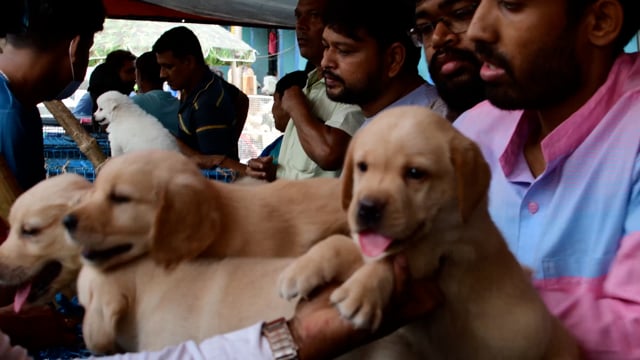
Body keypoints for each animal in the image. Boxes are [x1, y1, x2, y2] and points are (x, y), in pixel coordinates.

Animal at [280, 107, 580, 360]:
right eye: (362, 166)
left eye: (415, 173)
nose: (366, 208)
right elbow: (339, 242)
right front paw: (301, 269)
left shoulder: (444, 253)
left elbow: (388, 261)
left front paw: (361, 292)